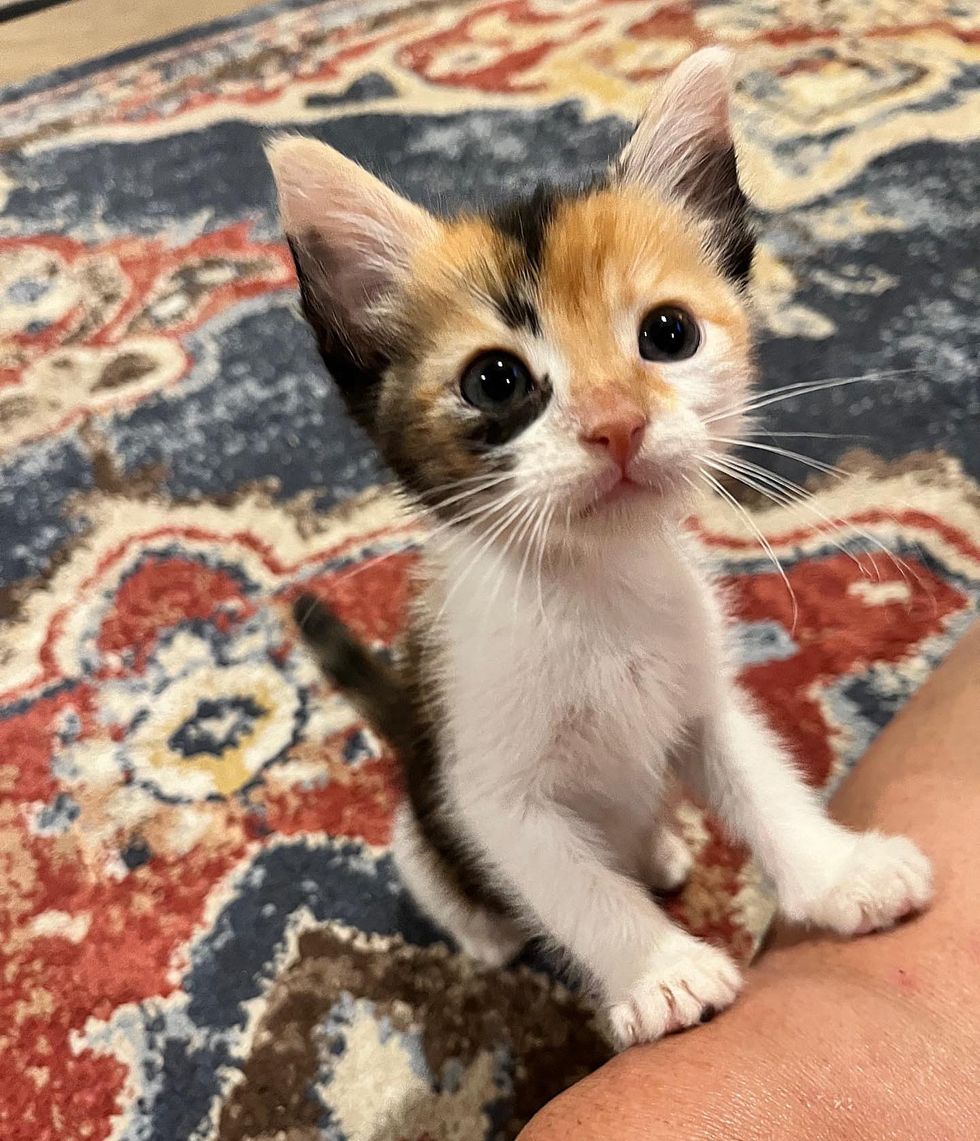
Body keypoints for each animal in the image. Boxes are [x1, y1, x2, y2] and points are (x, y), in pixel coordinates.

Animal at [270, 49, 935, 1045]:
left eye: (668, 333)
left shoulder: (702, 698)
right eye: (494, 379)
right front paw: (664, 970)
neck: (597, 588)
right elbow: (574, 885)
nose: (618, 424)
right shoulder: (488, 787)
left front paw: (840, 873)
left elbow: (762, 784)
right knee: (442, 873)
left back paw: (658, 848)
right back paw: (488, 935)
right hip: (421, 819)